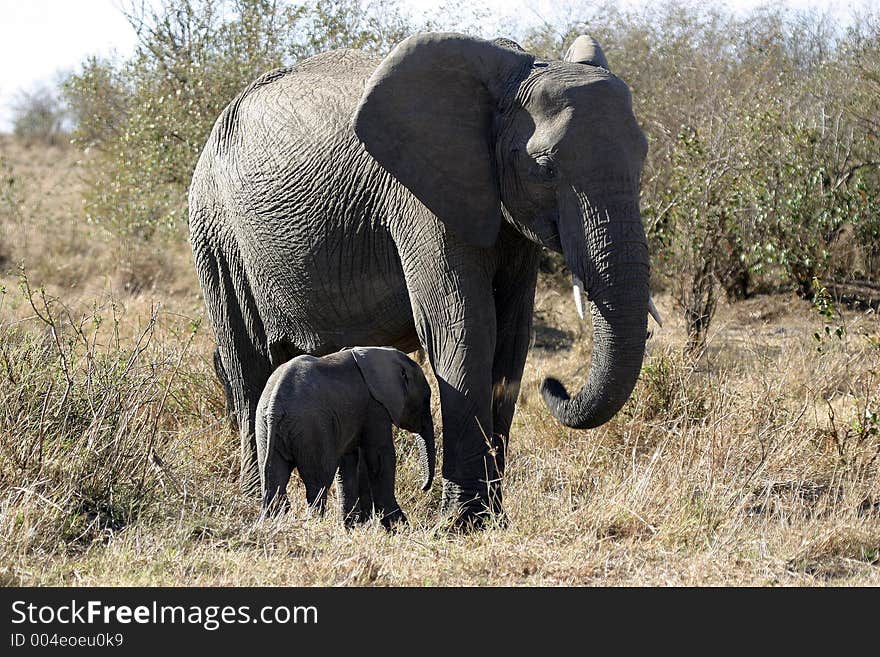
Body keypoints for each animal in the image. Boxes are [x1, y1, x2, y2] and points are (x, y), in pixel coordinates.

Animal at [253, 346, 434, 524]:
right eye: (426, 400)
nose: (423, 487)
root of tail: (275, 405)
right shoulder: (375, 408)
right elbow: (380, 459)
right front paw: (399, 525)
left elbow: (348, 463)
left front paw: (353, 526)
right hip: (311, 426)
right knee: (318, 483)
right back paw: (313, 524)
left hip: (264, 428)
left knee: (274, 482)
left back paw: (269, 522)